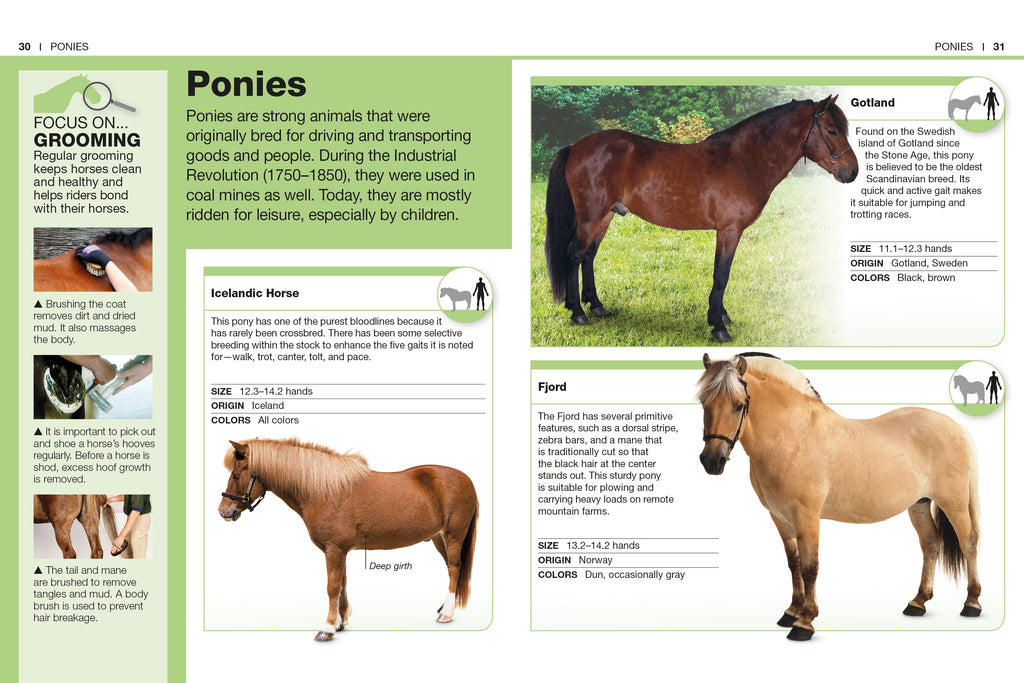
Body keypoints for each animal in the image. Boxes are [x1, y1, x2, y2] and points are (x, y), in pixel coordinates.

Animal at [218, 438, 478, 641]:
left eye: (236, 474)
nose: (224, 511)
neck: (325, 491)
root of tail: (467, 481)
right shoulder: (339, 550)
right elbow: (342, 583)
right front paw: (341, 622)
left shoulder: (334, 549)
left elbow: (332, 587)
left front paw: (327, 628)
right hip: (438, 538)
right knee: (450, 569)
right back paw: (444, 607)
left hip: (454, 535)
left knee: (455, 568)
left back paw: (446, 613)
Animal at [545, 96, 858, 342]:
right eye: (832, 130)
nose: (852, 171)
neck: (744, 159)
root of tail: (576, 146)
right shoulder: (729, 230)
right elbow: (721, 275)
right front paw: (718, 326)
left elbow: (722, 276)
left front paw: (720, 316)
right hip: (590, 217)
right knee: (574, 254)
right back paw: (578, 312)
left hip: (605, 216)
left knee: (589, 256)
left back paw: (596, 305)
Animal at [696, 353, 981, 640]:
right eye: (703, 403)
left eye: (738, 405)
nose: (712, 461)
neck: (791, 436)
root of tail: (956, 427)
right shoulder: (780, 517)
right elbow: (794, 563)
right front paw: (792, 612)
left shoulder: (807, 515)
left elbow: (810, 567)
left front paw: (805, 622)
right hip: (919, 504)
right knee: (931, 544)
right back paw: (918, 602)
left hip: (954, 503)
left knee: (968, 542)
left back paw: (972, 604)